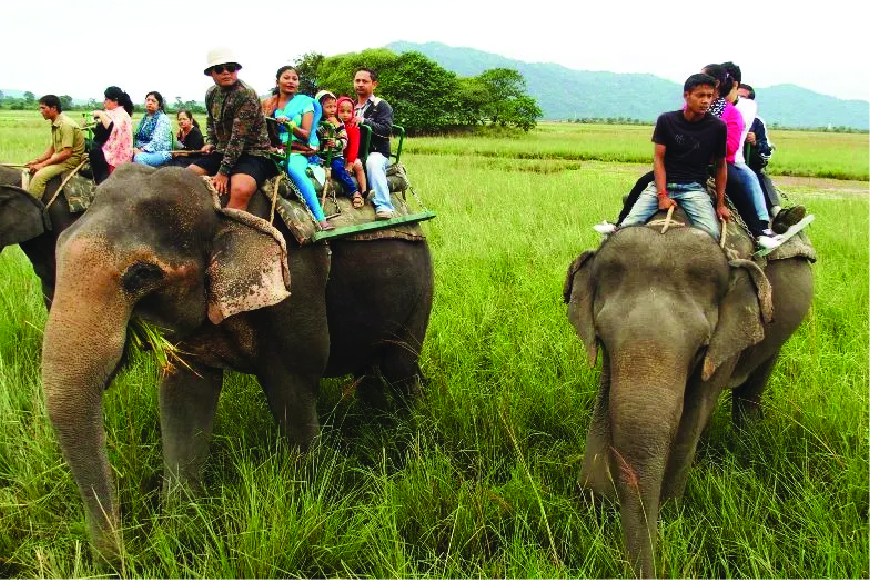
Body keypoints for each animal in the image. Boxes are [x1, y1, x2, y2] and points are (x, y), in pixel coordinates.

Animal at [40, 163, 434, 562]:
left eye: (141, 274)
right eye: (56, 249)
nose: (119, 560)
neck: (219, 207)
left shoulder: (297, 285)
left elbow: (294, 388)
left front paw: (306, 503)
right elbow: (183, 395)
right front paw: (179, 532)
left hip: (422, 282)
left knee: (399, 365)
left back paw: (411, 429)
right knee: (370, 368)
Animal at [563, 211, 813, 578]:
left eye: (701, 347)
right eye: (603, 338)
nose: (649, 567)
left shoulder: (729, 333)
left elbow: (694, 411)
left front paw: (670, 512)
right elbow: (607, 403)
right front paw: (595, 497)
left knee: (755, 381)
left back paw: (746, 444)